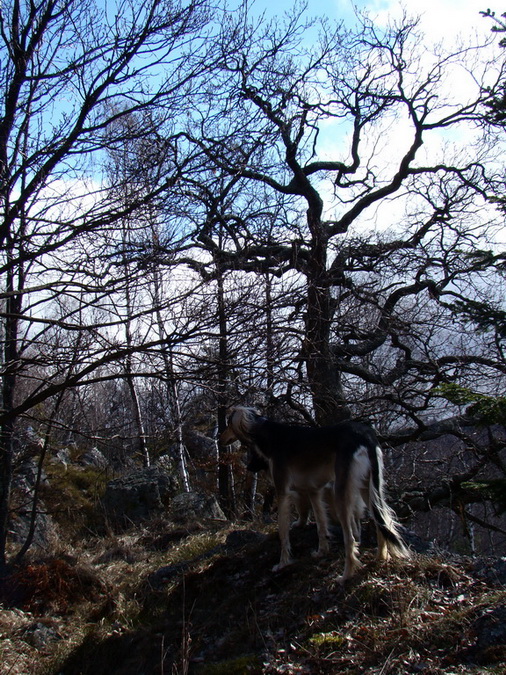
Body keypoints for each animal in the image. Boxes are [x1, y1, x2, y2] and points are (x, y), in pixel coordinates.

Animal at [219, 406, 410, 580]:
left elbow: (283, 532)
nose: (220, 439)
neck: (268, 434)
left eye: (227, 424)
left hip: (342, 491)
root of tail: (366, 435)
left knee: (350, 537)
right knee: (382, 521)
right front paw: (322, 551)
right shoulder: (314, 491)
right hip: (367, 486)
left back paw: (346, 575)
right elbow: (320, 523)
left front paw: (283, 563)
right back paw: (381, 558)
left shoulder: (283, 492)